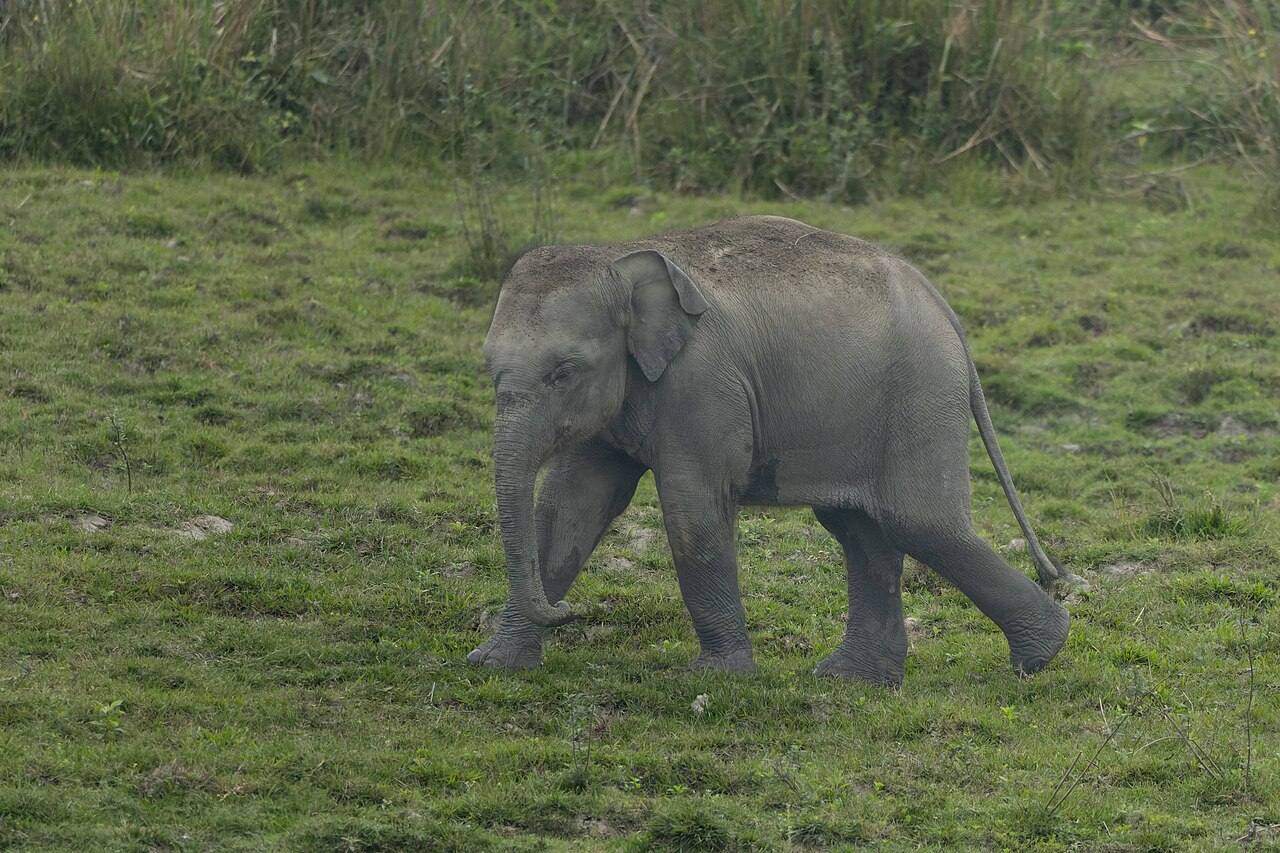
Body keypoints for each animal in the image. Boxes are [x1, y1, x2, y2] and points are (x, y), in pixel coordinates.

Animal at [468, 215, 1069, 687]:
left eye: (563, 371)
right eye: (488, 365)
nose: (567, 611)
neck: (620, 257)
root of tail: (945, 308)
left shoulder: (703, 387)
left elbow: (691, 506)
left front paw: (714, 677)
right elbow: (569, 505)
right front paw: (494, 663)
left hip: (920, 393)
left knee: (917, 521)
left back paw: (1044, 653)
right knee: (861, 528)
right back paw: (854, 679)